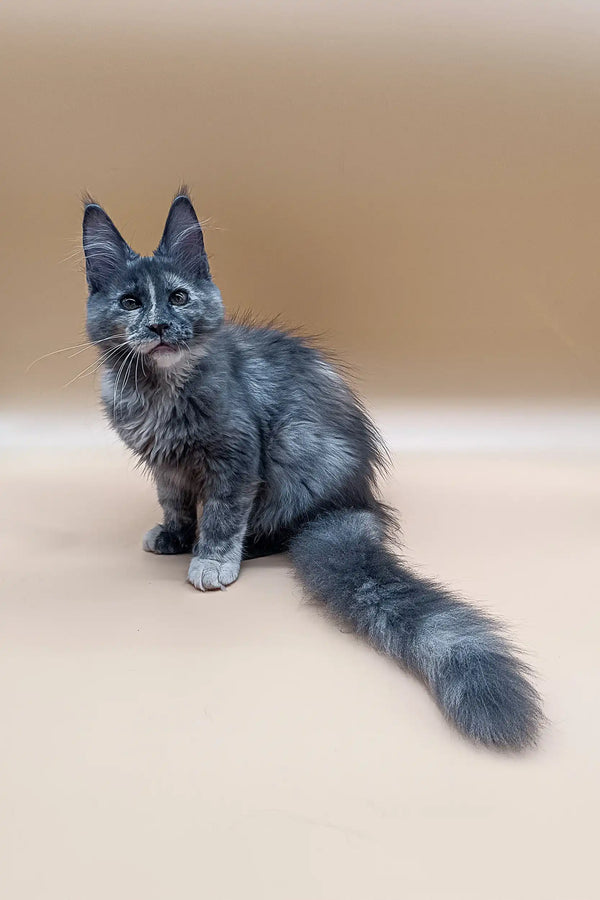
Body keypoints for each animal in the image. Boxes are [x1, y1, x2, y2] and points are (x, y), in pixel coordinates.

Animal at [82, 186, 548, 748]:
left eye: (178, 298)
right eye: (129, 303)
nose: (158, 326)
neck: (157, 390)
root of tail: (359, 502)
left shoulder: (237, 456)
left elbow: (221, 515)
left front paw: (210, 559)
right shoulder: (165, 466)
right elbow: (174, 503)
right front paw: (174, 533)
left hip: (295, 451)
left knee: (280, 529)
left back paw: (248, 547)